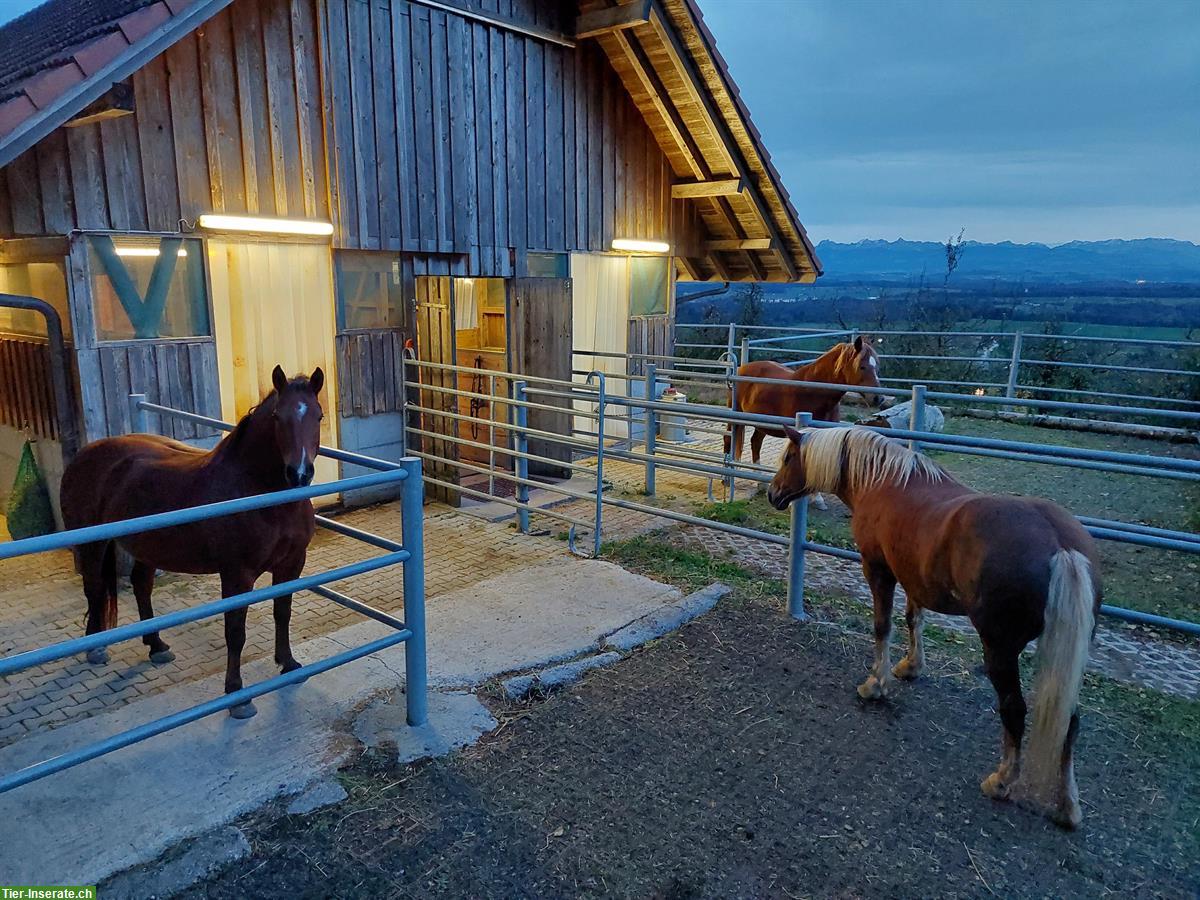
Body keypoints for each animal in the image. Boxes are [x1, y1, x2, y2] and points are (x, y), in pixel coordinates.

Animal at [60, 362, 324, 724]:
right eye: (277, 417)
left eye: (318, 415)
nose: (299, 474)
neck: (258, 491)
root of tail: (84, 454)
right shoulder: (237, 575)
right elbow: (235, 632)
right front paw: (237, 695)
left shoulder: (292, 564)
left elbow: (282, 613)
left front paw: (289, 664)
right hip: (93, 544)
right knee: (94, 588)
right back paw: (95, 647)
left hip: (148, 546)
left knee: (141, 585)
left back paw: (156, 646)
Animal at [768, 427, 1099, 830]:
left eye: (788, 458)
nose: (773, 494)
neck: (882, 481)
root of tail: (1061, 547)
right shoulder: (913, 578)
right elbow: (915, 619)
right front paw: (911, 667)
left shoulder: (878, 570)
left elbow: (883, 627)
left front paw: (875, 684)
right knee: (1069, 721)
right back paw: (1067, 807)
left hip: (1000, 649)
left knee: (1014, 709)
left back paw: (1002, 781)